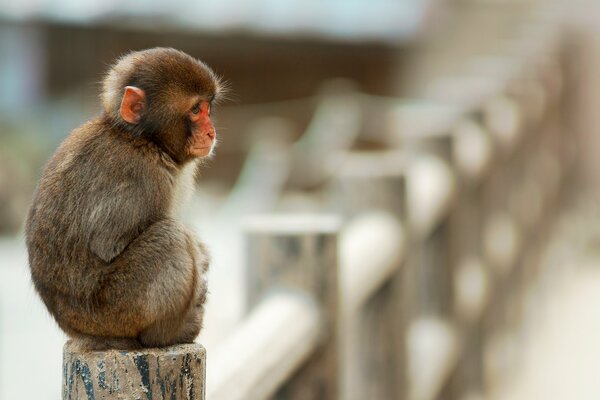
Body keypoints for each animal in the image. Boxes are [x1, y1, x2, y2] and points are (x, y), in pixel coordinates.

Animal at [23, 47, 225, 350]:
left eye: (207, 108)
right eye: (195, 110)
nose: (211, 132)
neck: (142, 140)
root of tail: (77, 330)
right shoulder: (142, 178)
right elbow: (108, 244)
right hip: (115, 312)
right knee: (170, 237)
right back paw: (167, 334)